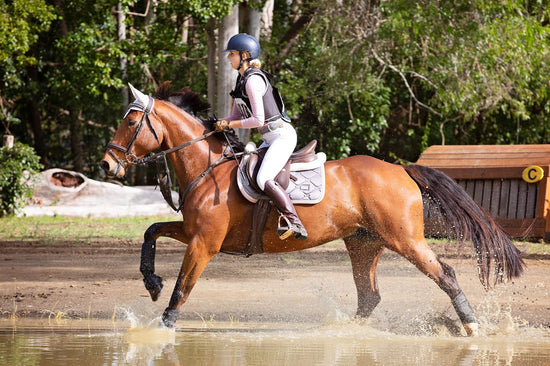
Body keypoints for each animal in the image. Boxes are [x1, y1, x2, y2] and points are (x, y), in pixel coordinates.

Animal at [100, 81, 528, 336]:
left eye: (132, 123)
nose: (106, 166)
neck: (206, 168)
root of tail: (400, 169)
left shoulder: (204, 243)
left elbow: (183, 287)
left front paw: (163, 325)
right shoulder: (193, 232)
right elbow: (151, 232)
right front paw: (151, 283)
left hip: (404, 239)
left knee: (445, 274)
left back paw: (471, 327)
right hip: (364, 243)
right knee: (369, 296)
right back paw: (345, 333)